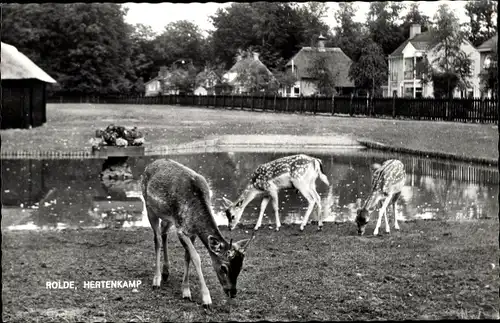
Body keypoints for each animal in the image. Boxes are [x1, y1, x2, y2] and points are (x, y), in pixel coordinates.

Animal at [142, 159, 256, 308]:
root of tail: (150, 165)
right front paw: (206, 298)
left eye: (240, 266)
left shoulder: (192, 232)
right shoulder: (181, 230)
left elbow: (187, 256)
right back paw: (157, 280)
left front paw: (185, 291)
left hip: (168, 217)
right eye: (223, 268)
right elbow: (196, 257)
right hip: (149, 207)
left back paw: (166, 272)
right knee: (157, 239)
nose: (233, 292)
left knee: (163, 232)